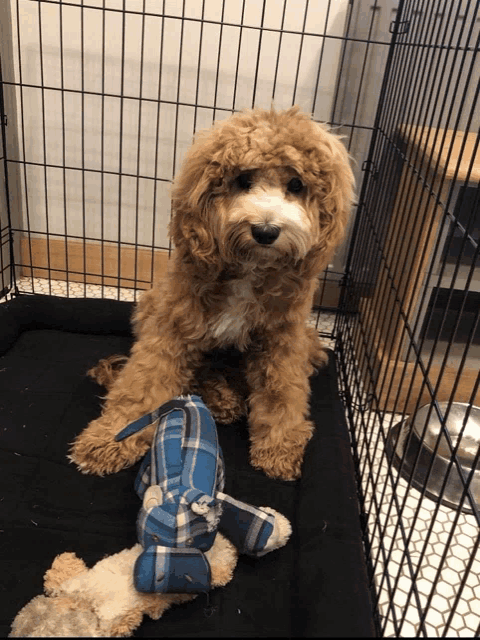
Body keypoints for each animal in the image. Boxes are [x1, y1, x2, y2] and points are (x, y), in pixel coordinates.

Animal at [69, 106, 352, 480]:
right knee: (195, 372)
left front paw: (278, 447)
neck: (249, 268)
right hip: (151, 305)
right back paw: (220, 399)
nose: (265, 231)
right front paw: (111, 439)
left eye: (296, 185)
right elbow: (143, 383)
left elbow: (283, 392)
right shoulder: (172, 326)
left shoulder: (282, 338)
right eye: (243, 180)